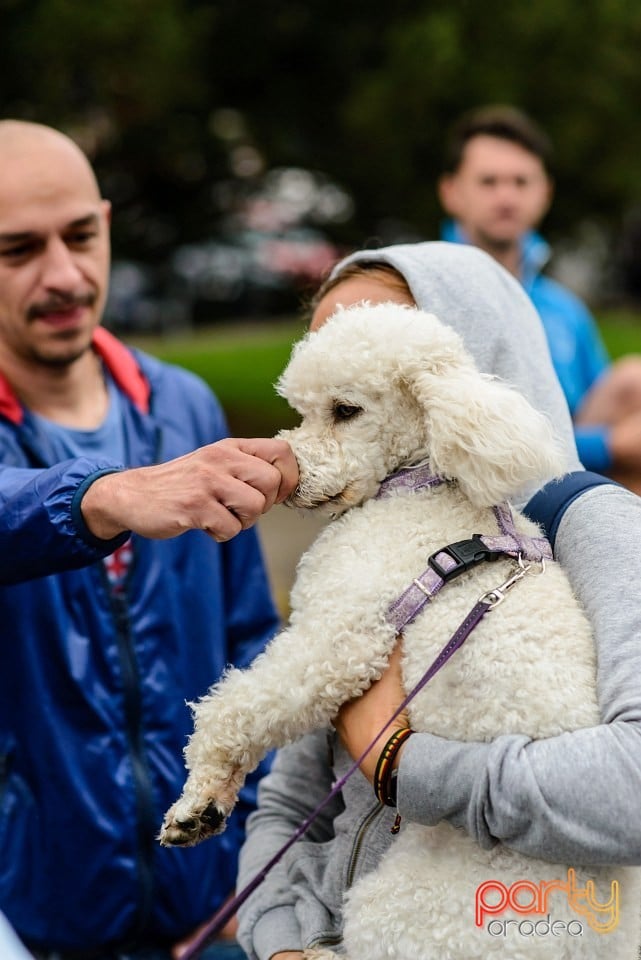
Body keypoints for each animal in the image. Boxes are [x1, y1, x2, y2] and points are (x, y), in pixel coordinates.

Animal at [161, 304, 640, 956]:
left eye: (346, 410)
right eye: (302, 410)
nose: (290, 475)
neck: (415, 488)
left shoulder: (342, 637)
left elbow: (236, 708)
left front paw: (197, 798)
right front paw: (207, 805)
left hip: (403, 905)